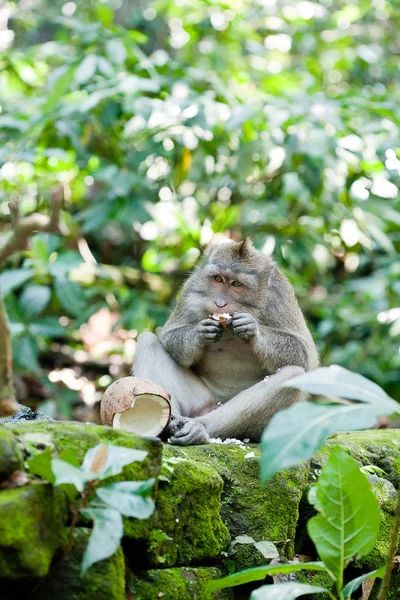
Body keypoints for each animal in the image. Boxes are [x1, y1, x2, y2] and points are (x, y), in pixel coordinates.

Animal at [131, 238, 318, 446]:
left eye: (236, 284)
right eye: (218, 279)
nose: (220, 304)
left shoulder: (281, 293)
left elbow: (305, 355)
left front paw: (253, 329)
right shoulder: (193, 286)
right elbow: (169, 336)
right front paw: (200, 333)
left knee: (293, 376)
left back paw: (200, 429)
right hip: (200, 401)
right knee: (147, 341)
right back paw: (169, 425)